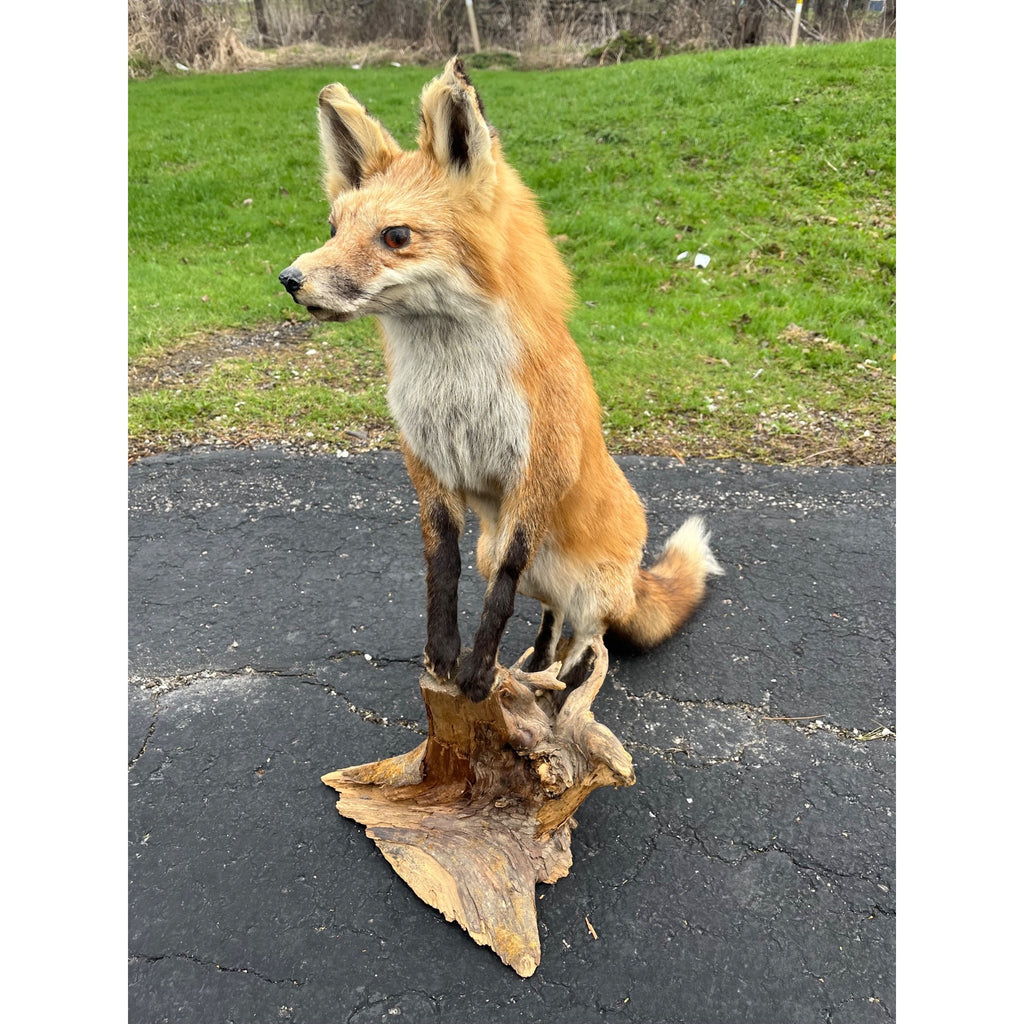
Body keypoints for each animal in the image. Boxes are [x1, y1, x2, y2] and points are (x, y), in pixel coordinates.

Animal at [279, 58, 723, 703]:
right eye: (332, 227)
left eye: (395, 236)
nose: (290, 279)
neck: (454, 387)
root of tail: (636, 576)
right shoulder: (426, 462)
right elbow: (442, 564)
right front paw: (443, 656)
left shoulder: (537, 471)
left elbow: (502, 591)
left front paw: (478, 674)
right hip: (511, 558)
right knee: (550, 615)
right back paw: (536, 661)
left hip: (593, 590)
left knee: (591, 637)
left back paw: (562, 680)